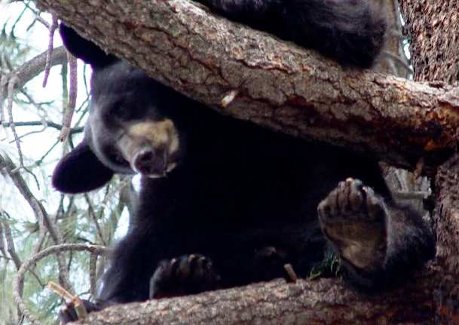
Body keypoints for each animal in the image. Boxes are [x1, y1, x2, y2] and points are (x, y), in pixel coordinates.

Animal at [54, 0, 434, 318]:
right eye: (116, 157)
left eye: (123, 106)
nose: (145, 159)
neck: (206, 131)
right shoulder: (175, 189)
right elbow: (142, 243)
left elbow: (354, 29)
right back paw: (171, 281)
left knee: (403, 226)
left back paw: (357, 230)